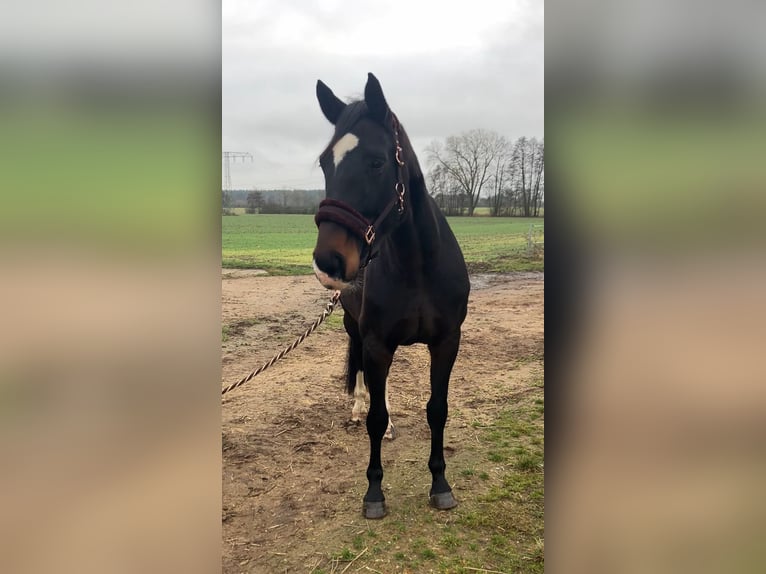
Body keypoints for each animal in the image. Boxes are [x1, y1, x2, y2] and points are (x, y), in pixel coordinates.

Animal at [312, 73, 470, 519]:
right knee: (363, 380)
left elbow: (437, 410)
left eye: (377, 162)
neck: (417, 267)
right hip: (356, 331)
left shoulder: (446, 342)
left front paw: (440, 484)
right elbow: (376, 418)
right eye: (325, 162)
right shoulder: (377, 344)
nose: (328, 262)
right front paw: (374, 493)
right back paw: (356, 408)